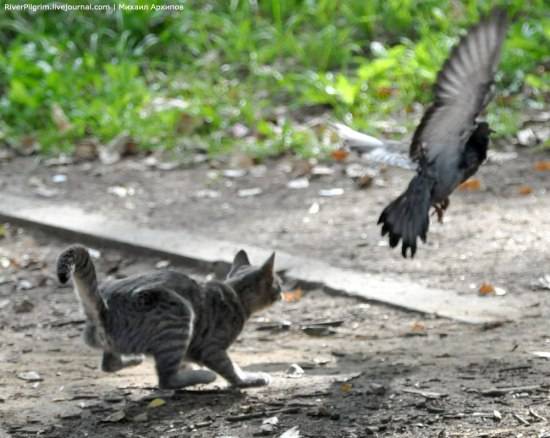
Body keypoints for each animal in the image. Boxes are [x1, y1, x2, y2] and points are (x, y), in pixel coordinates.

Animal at [57, 246, 282, 390]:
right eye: (278, 285)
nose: (282, 294)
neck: (234, 292)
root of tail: (104, 309)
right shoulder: (211, 348)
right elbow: (230, 368)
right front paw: (246, 380)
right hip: (179, 313)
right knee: (166, 380)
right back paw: (203, 376)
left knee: (109, 364)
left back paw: (133, 359)